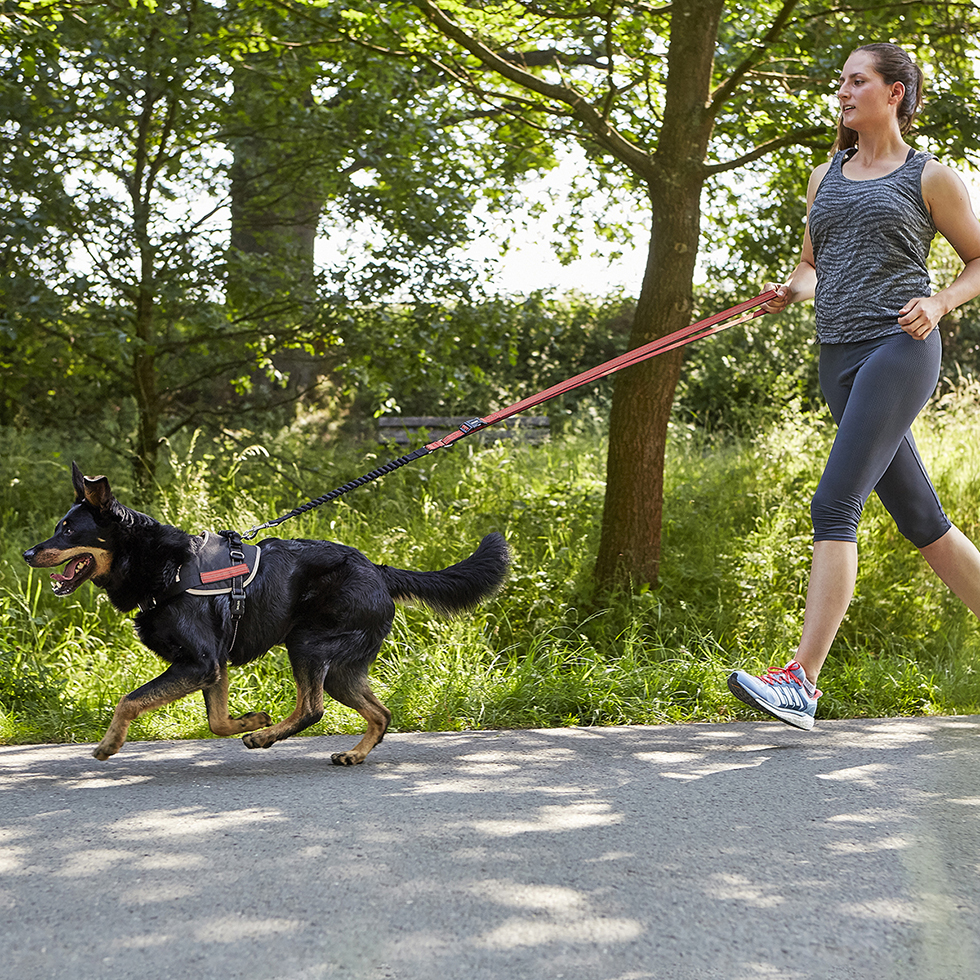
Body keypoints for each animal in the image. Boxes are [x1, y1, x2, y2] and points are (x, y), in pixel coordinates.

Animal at [25, 464, 510, 760]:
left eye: (67, 530)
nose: (29, 553)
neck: (164, 566)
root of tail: (378, 570)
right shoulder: (213, 667)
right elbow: (216, 721)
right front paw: (251, 717)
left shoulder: (199, 662)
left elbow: (129, 700)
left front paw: (109, 744)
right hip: (341, 667)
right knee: (380, 713)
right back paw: (351, 753)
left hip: (308, 644)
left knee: (313, 708)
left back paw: (266, 737)